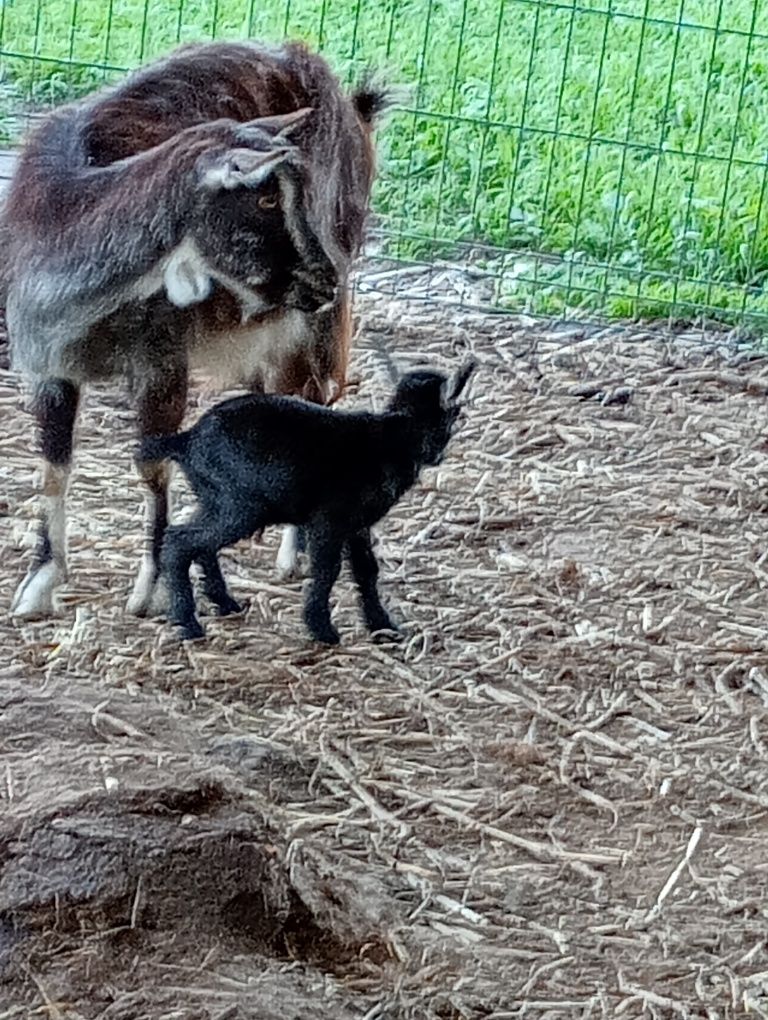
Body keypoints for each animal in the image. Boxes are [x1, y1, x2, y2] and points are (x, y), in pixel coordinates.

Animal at [5, 39, 389, 616]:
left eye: (300, 194)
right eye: (266, 198)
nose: (326, 279)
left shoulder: (161, 358)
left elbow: (152, 464)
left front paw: (153, 590)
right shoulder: (47, 360)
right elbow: (52, 468)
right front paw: (38, 584)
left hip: (309, 326)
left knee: (314, 395)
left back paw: (293, 554)